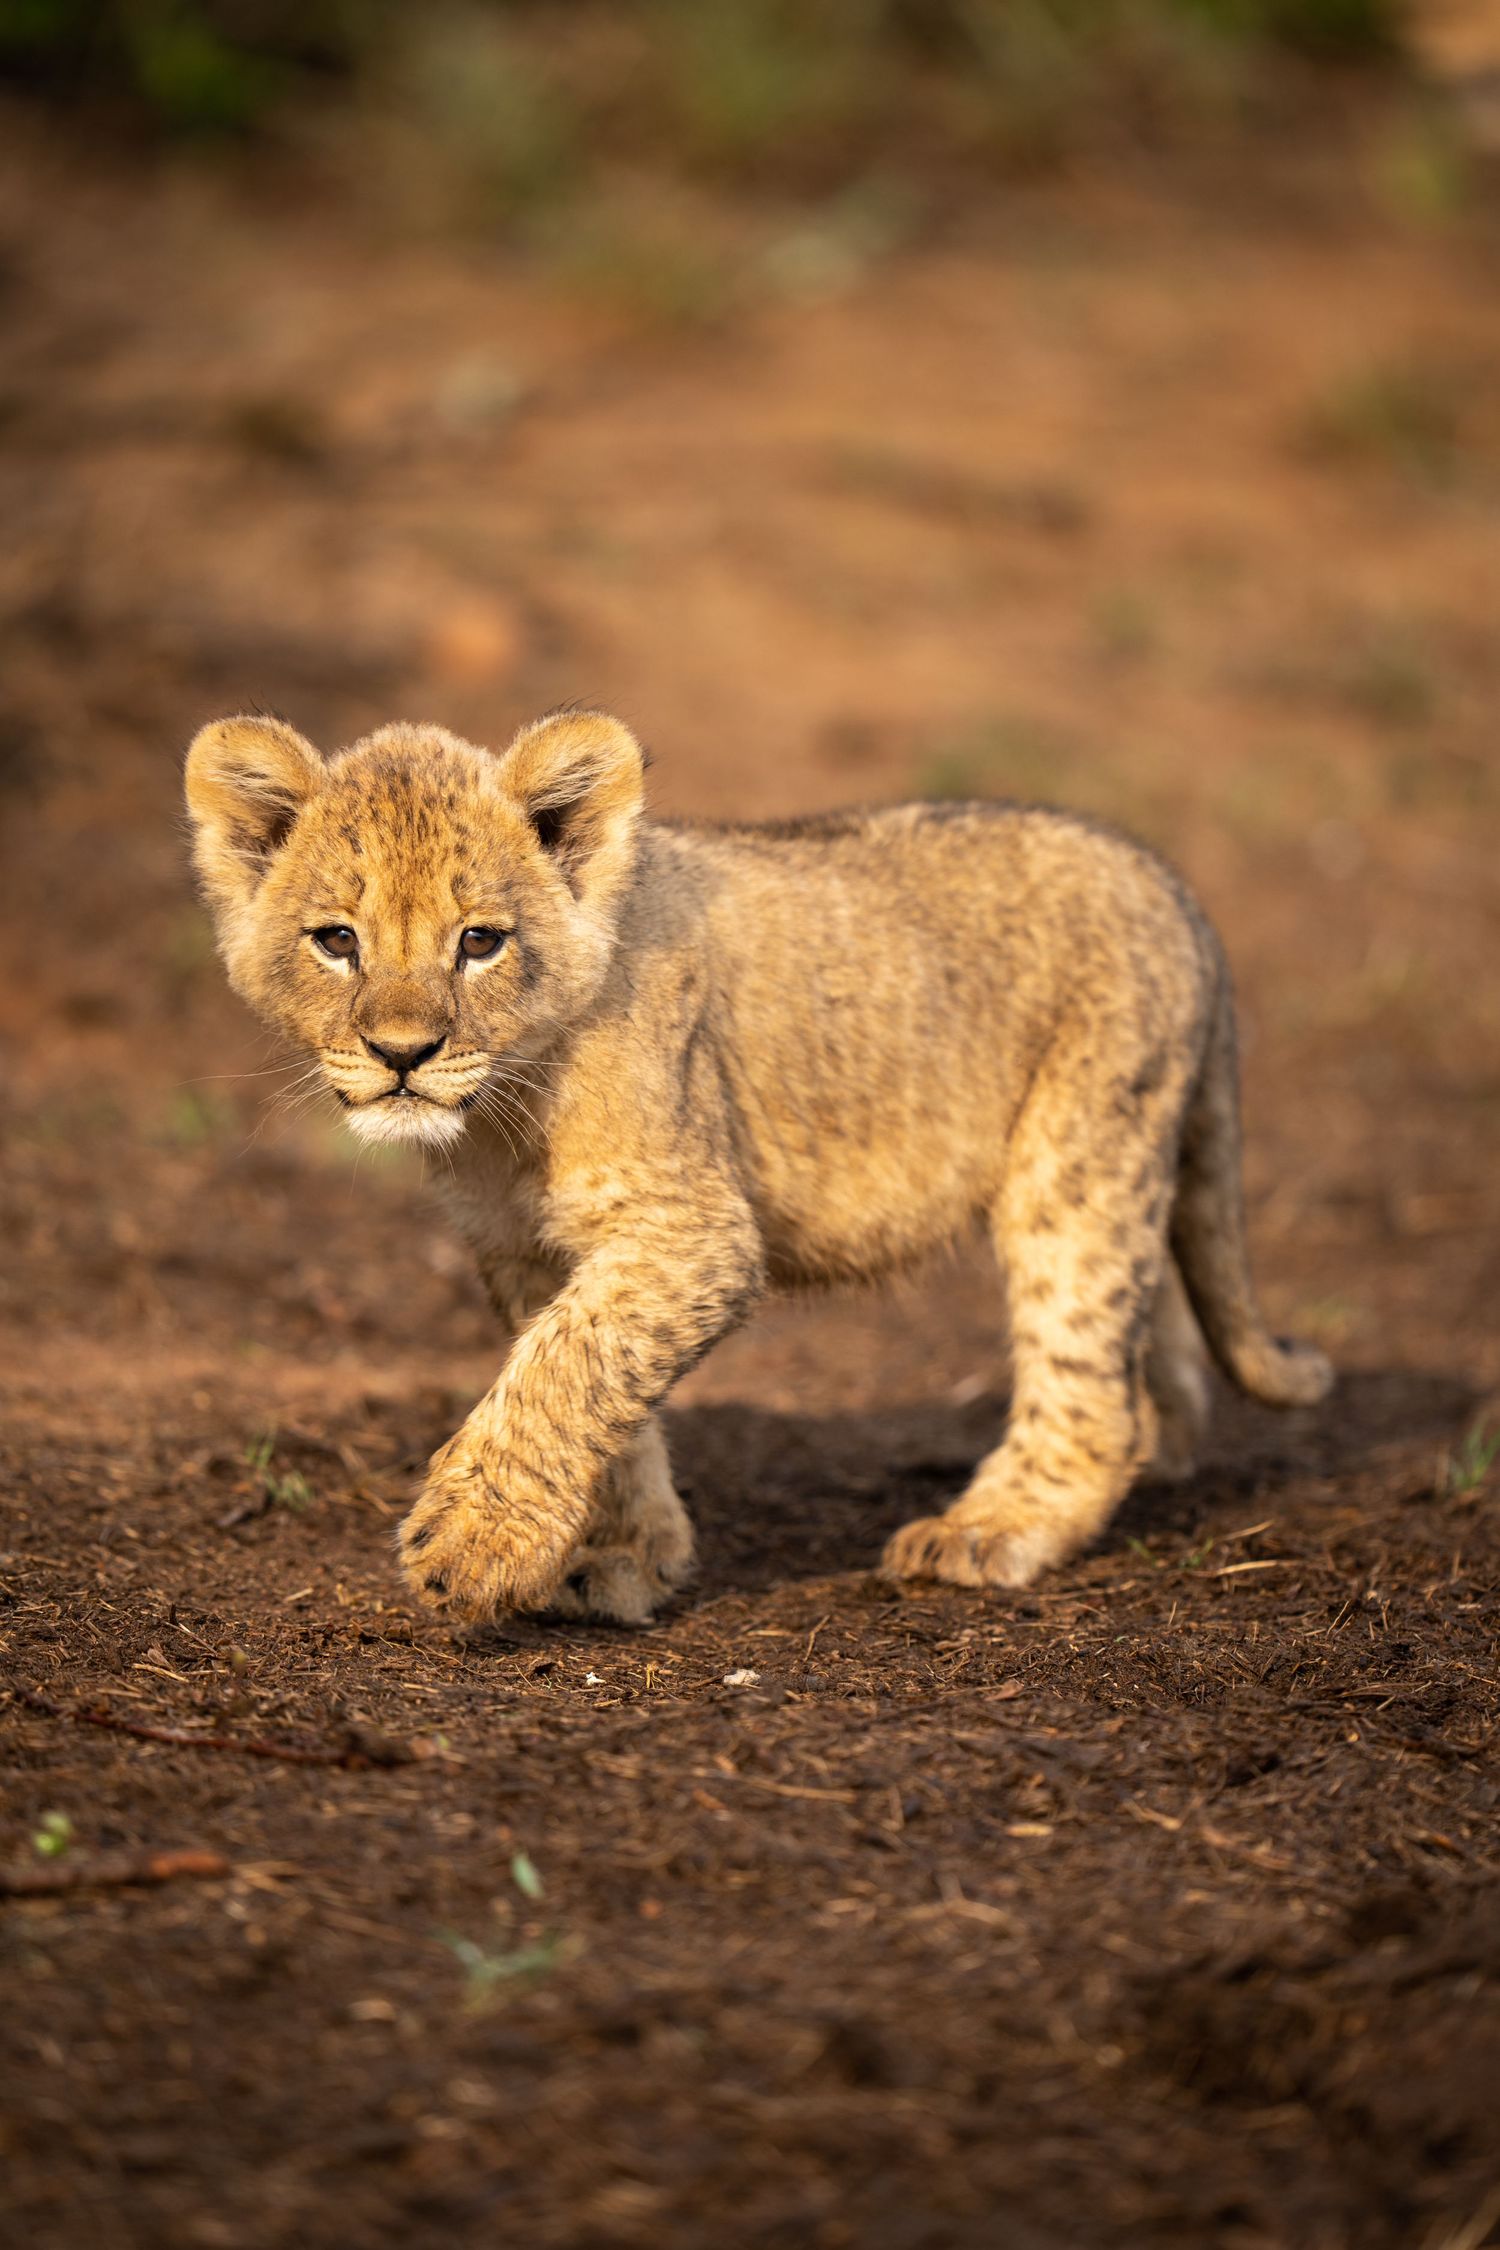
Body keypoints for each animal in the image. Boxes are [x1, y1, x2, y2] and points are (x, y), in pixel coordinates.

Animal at [184, 708, 1332, 1625]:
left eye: (480, 942)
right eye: (337, 940)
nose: (403, 1055)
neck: (504, 1116)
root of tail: (1167, 878)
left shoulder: (696, 1230)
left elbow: (565, 1366)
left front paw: (474, 1544)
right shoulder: (526, 1249)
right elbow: (591, 1380)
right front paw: (621, 1556)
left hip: (1076, 1157)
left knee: (1087, 1384)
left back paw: (987, 1528)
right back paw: (1164, 1447)